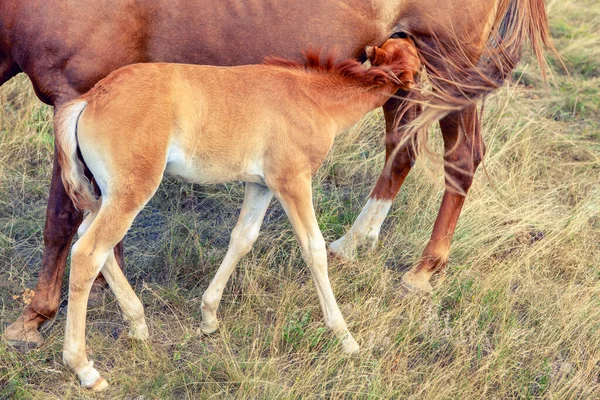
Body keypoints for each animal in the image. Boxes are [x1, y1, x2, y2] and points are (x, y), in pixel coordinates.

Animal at [1, 0, 552, 346]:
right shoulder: (276, 179)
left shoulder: (76, 91)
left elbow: (63, 220)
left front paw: (36, 317)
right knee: (405, 144)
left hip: (453, 61)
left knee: (460, 156)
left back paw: (421, 271)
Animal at [56, 38, 420, 390]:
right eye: (420, 67)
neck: (312, 98)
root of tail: (91, 99)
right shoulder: (292, 181)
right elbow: (314, 248)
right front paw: (345, 337)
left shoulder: (260, 186)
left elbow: (242, 238)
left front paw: (209, 317)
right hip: (130, 194)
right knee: (88, 252)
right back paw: (85, 369)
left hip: (109, 196)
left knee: (87, 237)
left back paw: (137, 322)